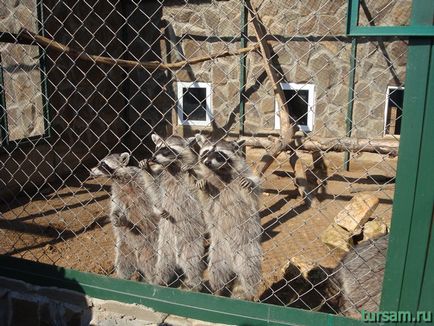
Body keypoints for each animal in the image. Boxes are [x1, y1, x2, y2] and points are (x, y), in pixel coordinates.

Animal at [90, 153, 162, 282]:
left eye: (103, 164)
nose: (91, 170)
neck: (121, 178)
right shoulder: (116, 192)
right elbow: (116, 208)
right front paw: (115, 217)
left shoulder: (139, 181)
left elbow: (156, 195)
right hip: (124, 245)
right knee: (122, 263)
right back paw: (124, 277)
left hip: (151, 245)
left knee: (151, 264)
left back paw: (153, 280)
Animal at [141, 133, 205, 290]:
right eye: (157, 147)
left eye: (166, 149)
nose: (153, 158)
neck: (172, 166)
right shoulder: (162, 178)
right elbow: (156, 194)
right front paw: (147, 170)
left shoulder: (195, 171)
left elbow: (197, 190)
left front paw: (193, 177)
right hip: (164, 243)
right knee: (163, 264)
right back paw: (159, 281)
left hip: (191, 240)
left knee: (192, 263)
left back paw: (196, 283)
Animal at [195, 135, 262, 300]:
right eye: (206, 152)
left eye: (219, 154)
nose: (207, 162)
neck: (221, 172)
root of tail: (232, 261)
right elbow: (207, 204)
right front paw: (203, 187)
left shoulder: (244, 173)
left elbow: (252, 196)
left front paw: (249, 185)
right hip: (218, 251)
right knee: (217, 272)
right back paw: (218, 290)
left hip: (248, 249)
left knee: (249, 272)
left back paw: (251, 293)